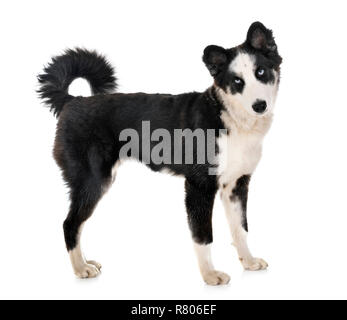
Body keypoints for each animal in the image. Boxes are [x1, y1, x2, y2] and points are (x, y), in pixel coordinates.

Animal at [38, 21, 282, 284]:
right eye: (237, 82)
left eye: (261, 72)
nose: (260, 106)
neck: (228, 117)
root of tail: (72, 101)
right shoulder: (199, 187)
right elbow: (203, 235)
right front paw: (209, 274)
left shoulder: (236, 185)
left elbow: (241, 229)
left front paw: (248, 262)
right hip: (92, 181)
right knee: (70, 224)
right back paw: (80, 268)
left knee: (78, 224)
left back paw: (85, 262)